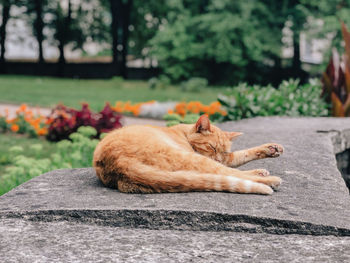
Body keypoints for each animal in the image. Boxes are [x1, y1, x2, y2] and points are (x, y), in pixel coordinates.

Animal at [93, 114, 284, 195]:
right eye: (212, 147)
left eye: (223, 151)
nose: (218, 158)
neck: (183, 133)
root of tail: (118, 162)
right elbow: (234, 167)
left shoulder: (227, 159)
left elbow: (242, 155)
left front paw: (271, 148)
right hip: (194, 160)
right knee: (231, 174)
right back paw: (270, 180)